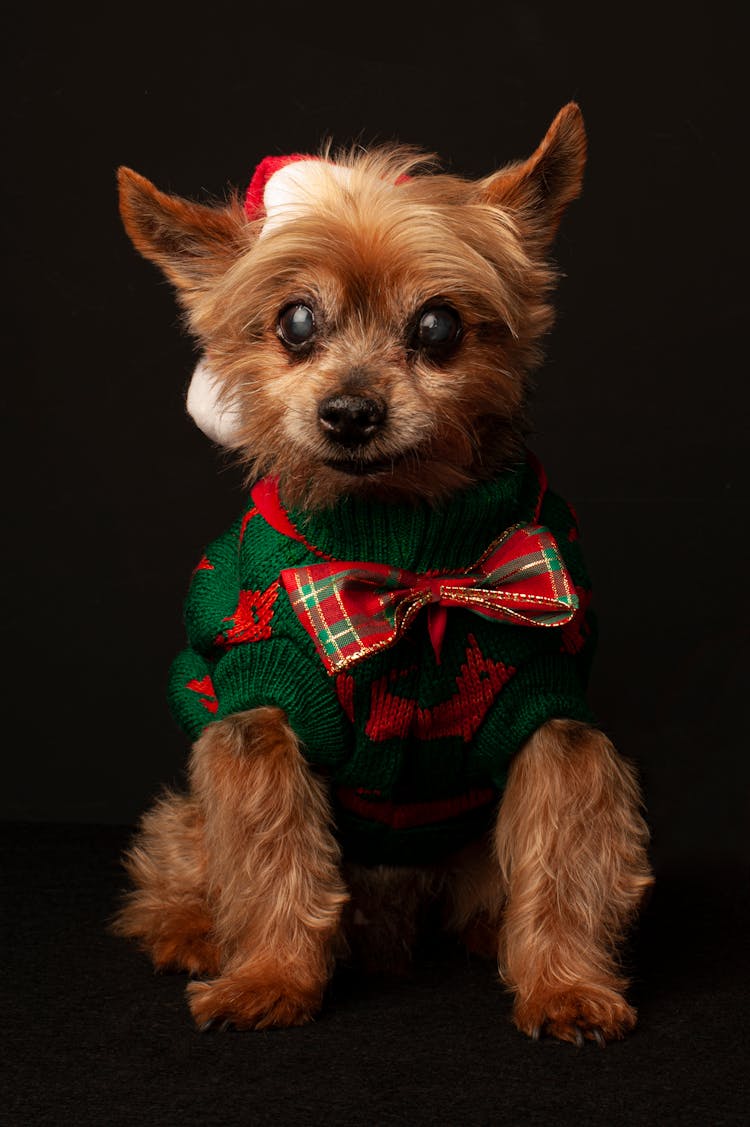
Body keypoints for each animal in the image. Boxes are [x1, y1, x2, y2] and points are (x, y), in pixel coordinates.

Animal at [111, 101, 649, 1041]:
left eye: (437, 327)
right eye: (295, 322)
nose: (351, 412)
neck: (403, 552)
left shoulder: (545, 706)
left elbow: (566, 851)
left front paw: (566, 986)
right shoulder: (263, 707)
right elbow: (269, 846)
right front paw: (269, 978)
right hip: (188, 823)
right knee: (176, 865)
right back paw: (191, 931)